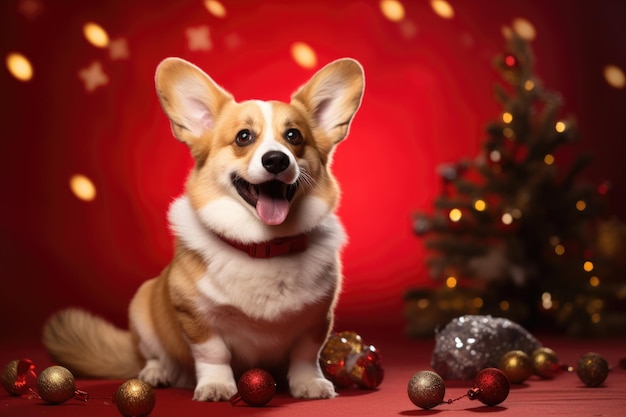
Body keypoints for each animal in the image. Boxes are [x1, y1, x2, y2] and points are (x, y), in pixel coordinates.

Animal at [42, 57, 360, 402]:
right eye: (243, 137)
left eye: (294, 136)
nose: (276, 159)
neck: (264, 246)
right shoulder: (194, 316)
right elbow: (214, 354)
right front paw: (217, 386)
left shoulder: (317, 319)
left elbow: (305, 355)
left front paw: (309, 383)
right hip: (143, 306)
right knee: (153, 356)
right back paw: (158, 372)